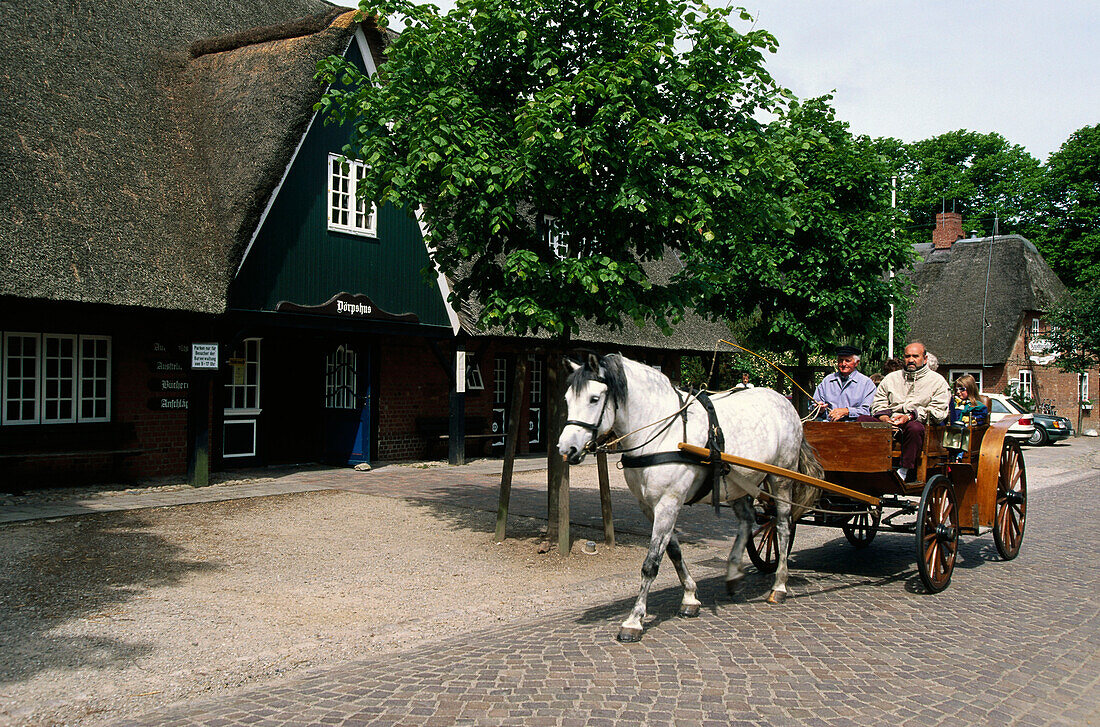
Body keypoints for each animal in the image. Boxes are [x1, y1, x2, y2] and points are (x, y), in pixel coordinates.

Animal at [554, 351, 822, 642]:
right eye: (567, 399)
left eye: (594, 398)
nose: (566, 449)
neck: (659, 432)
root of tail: (785, 403)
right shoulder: (650, 506)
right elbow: (673, 551)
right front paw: (690, 597)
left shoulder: (668, 502)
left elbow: (651, 563)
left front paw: (634, 620)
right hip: (738, 482)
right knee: (747, 521)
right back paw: (733, 574)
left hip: (781, 478)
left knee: (782, 526)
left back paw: (779, 585)